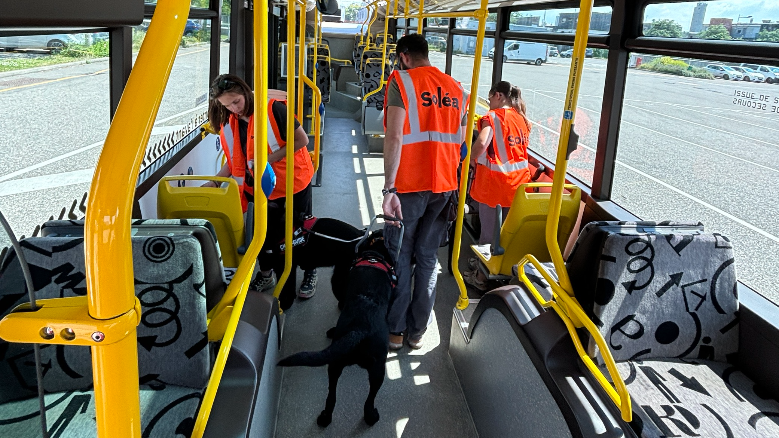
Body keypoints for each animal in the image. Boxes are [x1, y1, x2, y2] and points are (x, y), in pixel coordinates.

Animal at [276, 231, 394, 426]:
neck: (374, 256)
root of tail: (359, 329)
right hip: (378, 368)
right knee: (369, 399)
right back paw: (371, 416)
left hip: (336, 363)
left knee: (331, 395)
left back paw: (325, 417)